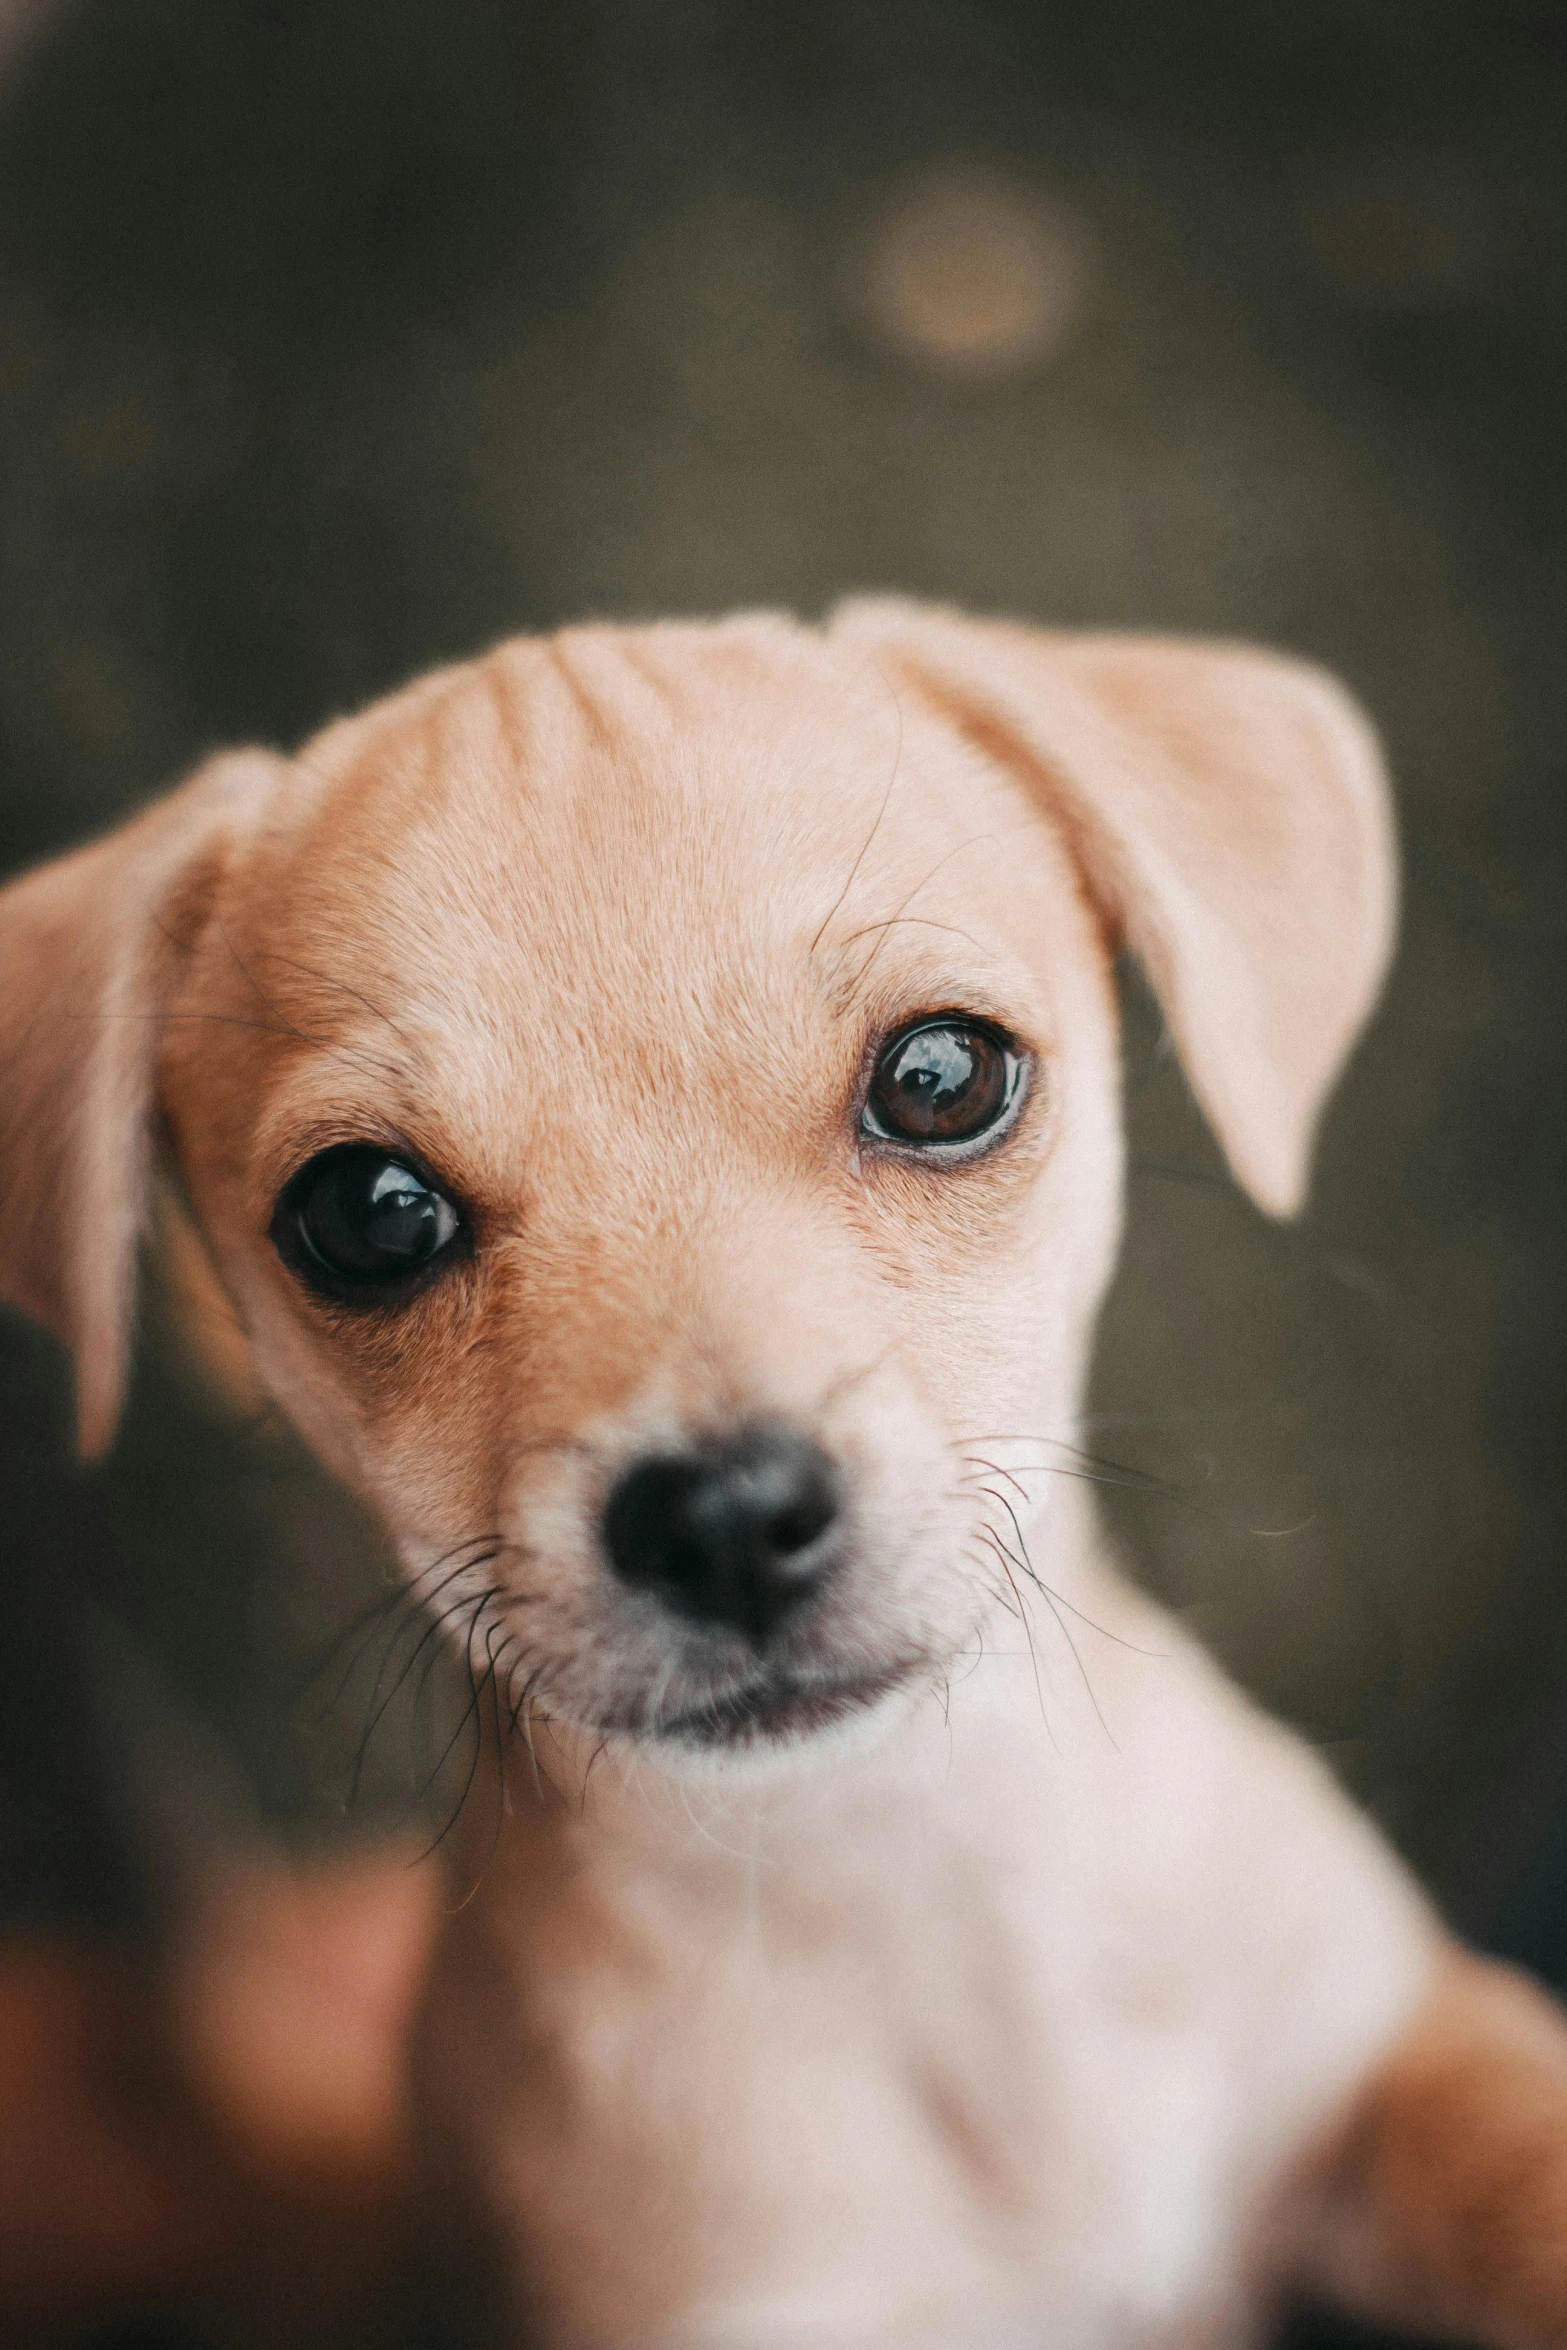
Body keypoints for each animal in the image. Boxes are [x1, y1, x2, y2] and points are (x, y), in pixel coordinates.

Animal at [3, 606, 1567, 2350]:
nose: (726, 1522)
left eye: (941, 1075)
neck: (901, 1858)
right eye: (366, 1212)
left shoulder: (1386, 2045)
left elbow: (1519, 2148)